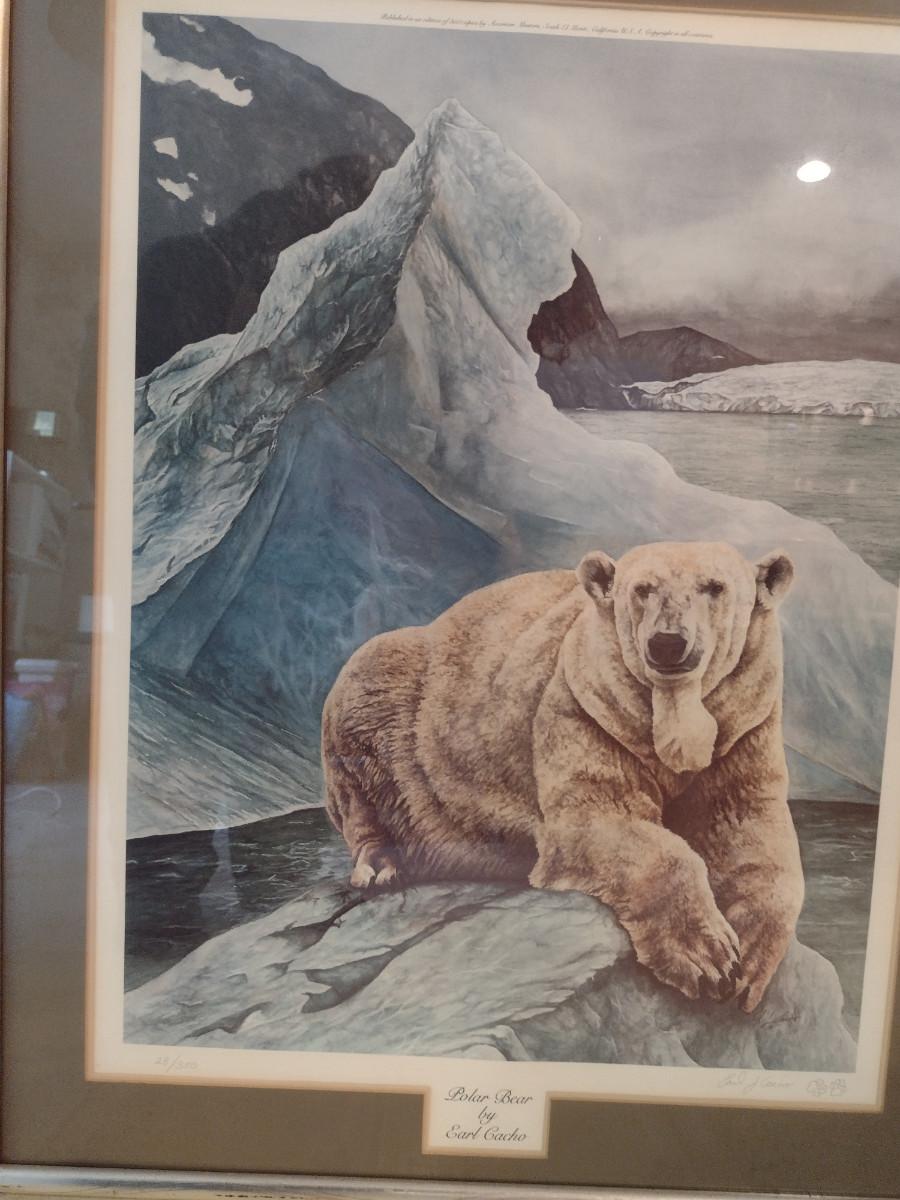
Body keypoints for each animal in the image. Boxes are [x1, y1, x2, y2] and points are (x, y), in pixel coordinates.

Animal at [321, 540, 804, 1013]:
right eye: (642, 589)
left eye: (715, 587)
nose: (668, 643)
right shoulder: (587, 704)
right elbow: (598, 820)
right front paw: (707, 958)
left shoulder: (744, 722)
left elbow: (744, 826)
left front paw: (748, 963)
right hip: (388, 717)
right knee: (363, 712)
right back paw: (380, 863)